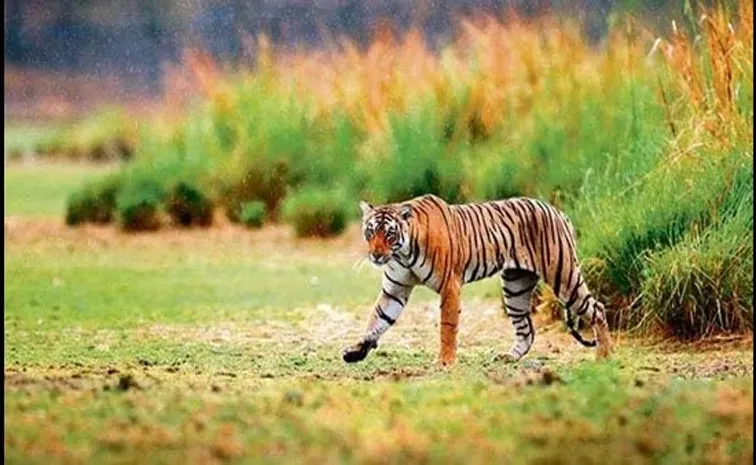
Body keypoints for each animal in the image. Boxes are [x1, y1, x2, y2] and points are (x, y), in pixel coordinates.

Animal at [342, 194, 613, 366]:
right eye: (370, 231)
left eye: (389, 233)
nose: (376, 255)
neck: (403, 253)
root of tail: (558, 212)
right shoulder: (395, 289)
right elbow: (377, 319)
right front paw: (356, 351)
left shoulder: (450, 286)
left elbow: (447, 327)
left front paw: (445, 362)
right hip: (515, 287)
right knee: (527, 330)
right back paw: (509, 357)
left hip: (563, 275)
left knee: (597, 308)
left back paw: (605, 355)